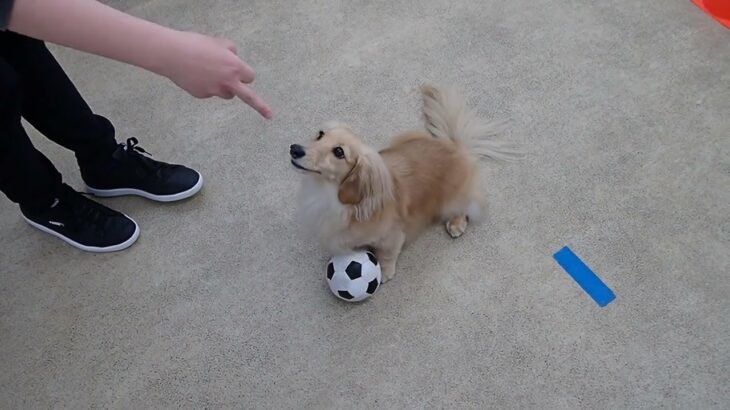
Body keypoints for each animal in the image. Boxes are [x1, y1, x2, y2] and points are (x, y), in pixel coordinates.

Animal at [288, 83, 520, 282]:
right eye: (320, 134)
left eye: (339, 152)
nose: (295, 149)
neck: (328, 194)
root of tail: (454, 145)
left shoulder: (392, 237)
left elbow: (387, 254)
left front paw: (385, 272)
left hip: (452, 199)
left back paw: (456, 223)